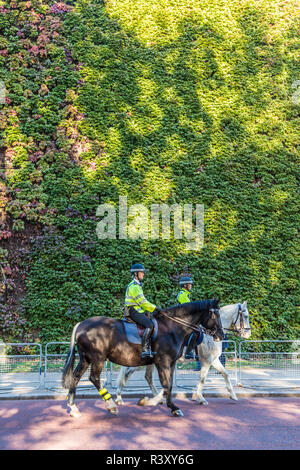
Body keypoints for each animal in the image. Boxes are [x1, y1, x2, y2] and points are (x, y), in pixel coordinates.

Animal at [62, 300, 224, 416]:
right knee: (94, 378)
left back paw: (73, 407)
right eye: (215, 315)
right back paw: (111, 405)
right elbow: (166, 385)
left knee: (76, 376)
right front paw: (149, 402)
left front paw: (171, 406)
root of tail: (81, 325)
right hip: (98, 359)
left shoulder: (170, 363)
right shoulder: (163, 362)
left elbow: (169, 385)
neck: (172, 328)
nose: (221, 335)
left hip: (85, 359)